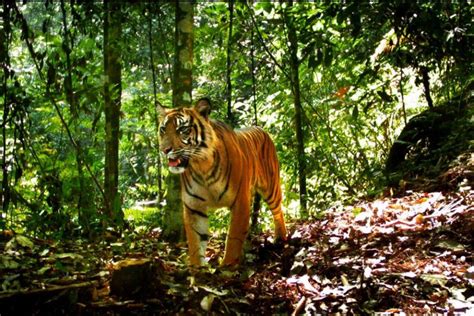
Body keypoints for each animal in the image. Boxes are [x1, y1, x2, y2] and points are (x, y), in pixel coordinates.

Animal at [157, 97, 286, 266]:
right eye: (163, 129)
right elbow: (195, 242)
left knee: (278, 211)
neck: (202, 166)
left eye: (183, 129)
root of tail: (260, 128)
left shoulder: (240, 202)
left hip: (271, 188)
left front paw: (227, 267)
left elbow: (233, 239)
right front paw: (198, 269)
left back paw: (281, 238)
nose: (164, 150)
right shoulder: (194, 207)